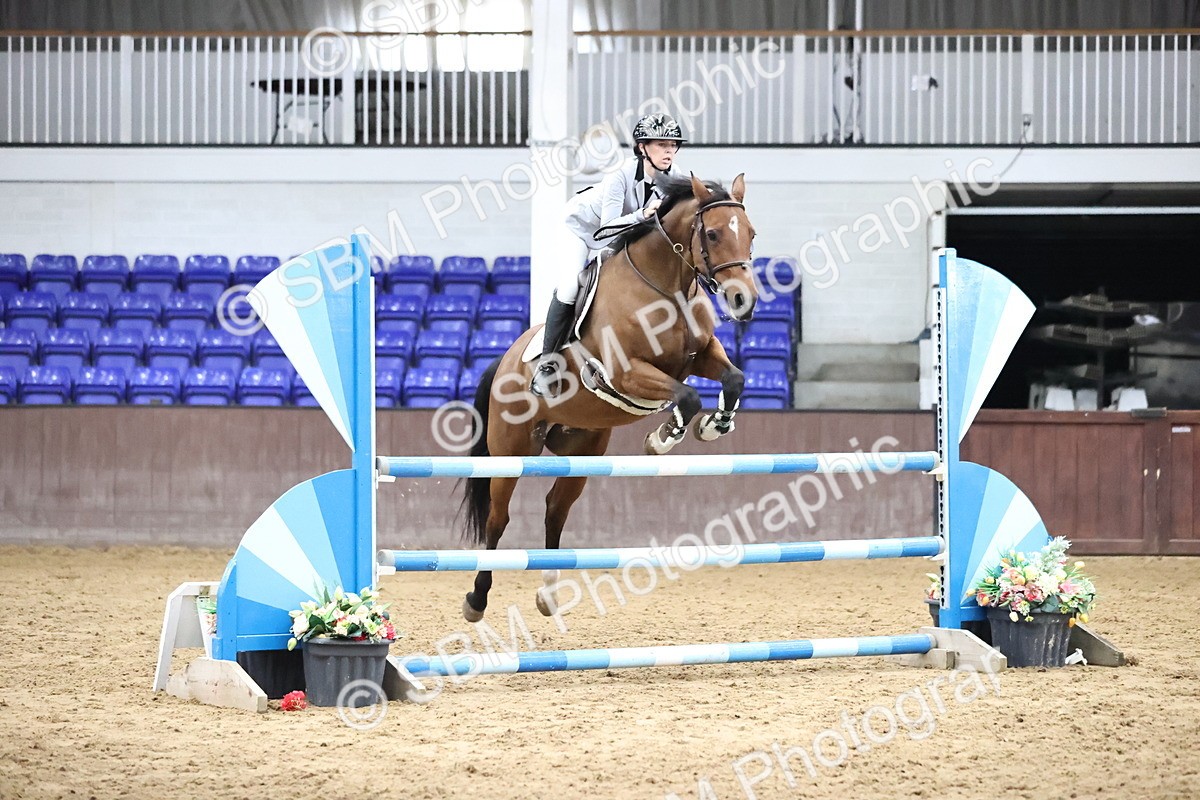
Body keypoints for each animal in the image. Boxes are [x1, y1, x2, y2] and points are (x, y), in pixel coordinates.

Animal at [458, 172, 761, 622]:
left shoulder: (701, 355)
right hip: (510, 451)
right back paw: (476, 599)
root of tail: (505, 359)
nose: (745, 301)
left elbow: (734, 378)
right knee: (498, 518)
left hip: (583, 450)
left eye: (751, 234)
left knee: (555, 509)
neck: (666, 285)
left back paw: (549, 594)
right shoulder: (628, 371)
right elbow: (688, 397)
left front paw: (715, 426)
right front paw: (662, 439)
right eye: (712, 233)